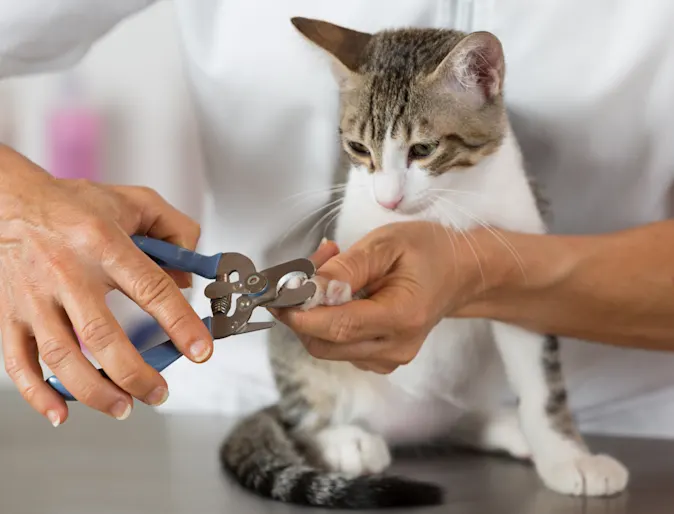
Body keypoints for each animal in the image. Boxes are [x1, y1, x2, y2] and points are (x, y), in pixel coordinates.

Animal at [218, 17, 628, 508]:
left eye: (424, 149)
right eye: (359, 148)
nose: (388, 199)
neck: (443, 207)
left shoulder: (522, 254)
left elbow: (542, 383)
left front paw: (566, 455)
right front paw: (328, 287)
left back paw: (502, 426)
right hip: (301, 367)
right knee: (302, 415)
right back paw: (343, 439)